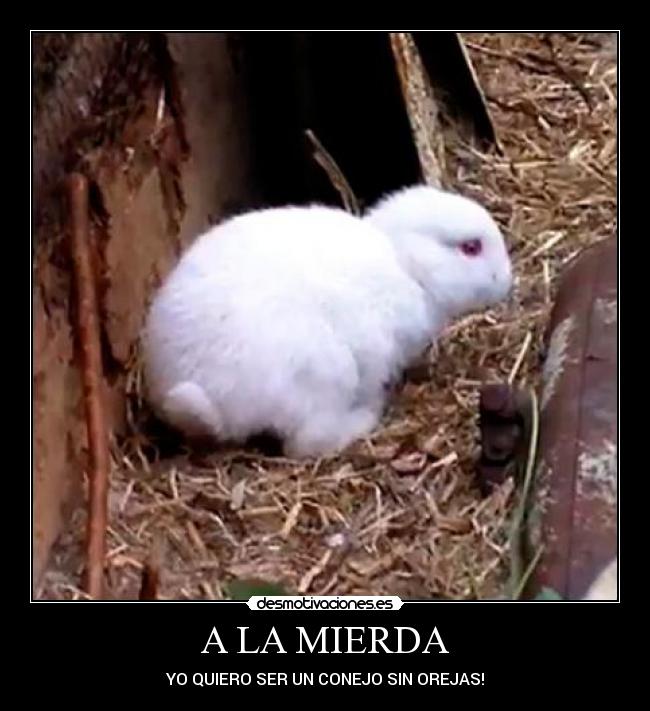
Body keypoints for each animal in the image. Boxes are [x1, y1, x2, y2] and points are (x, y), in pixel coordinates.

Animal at [142, 184, 513, 458]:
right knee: (304, 444)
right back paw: (366, 417)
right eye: (470, 247)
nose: (508, 281)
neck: (406, 265)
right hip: (326, 374)